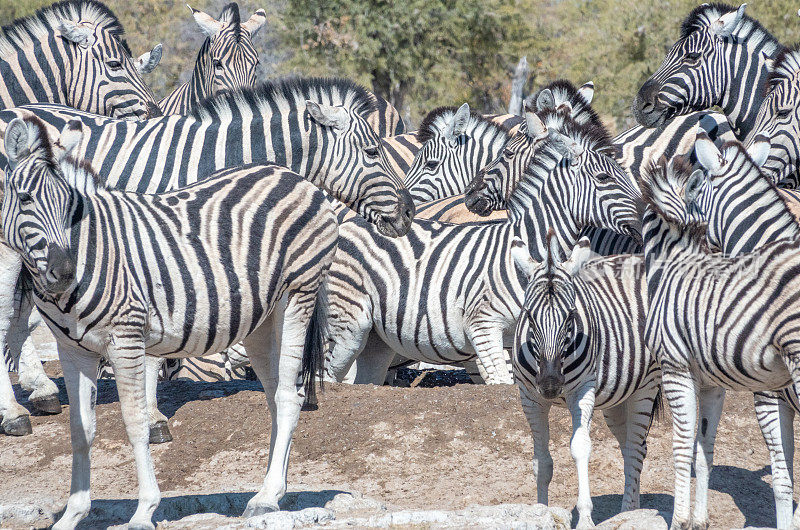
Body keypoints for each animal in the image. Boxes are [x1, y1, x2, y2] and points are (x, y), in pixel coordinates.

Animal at [0, 75, 412, 438]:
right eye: (372, 152)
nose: (409, 212)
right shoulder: (161, 247)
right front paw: (153, 418)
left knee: (18, 320)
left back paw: (42, 393)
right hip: (11, 249)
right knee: (6, 317)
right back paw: (13, 416)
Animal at [322, 111, 640, 384]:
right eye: (604, 179)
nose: (646, 212)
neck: (532, 245)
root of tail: (348, 224)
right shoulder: (483, 326)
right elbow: (500, 384)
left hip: (376, 340)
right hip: (348, 326)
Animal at [640, 155, 800, 524]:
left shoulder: (677, 370)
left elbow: (682, 448)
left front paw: (679, 521)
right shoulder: (713, 383)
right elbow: (704, 451)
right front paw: (699, 520)